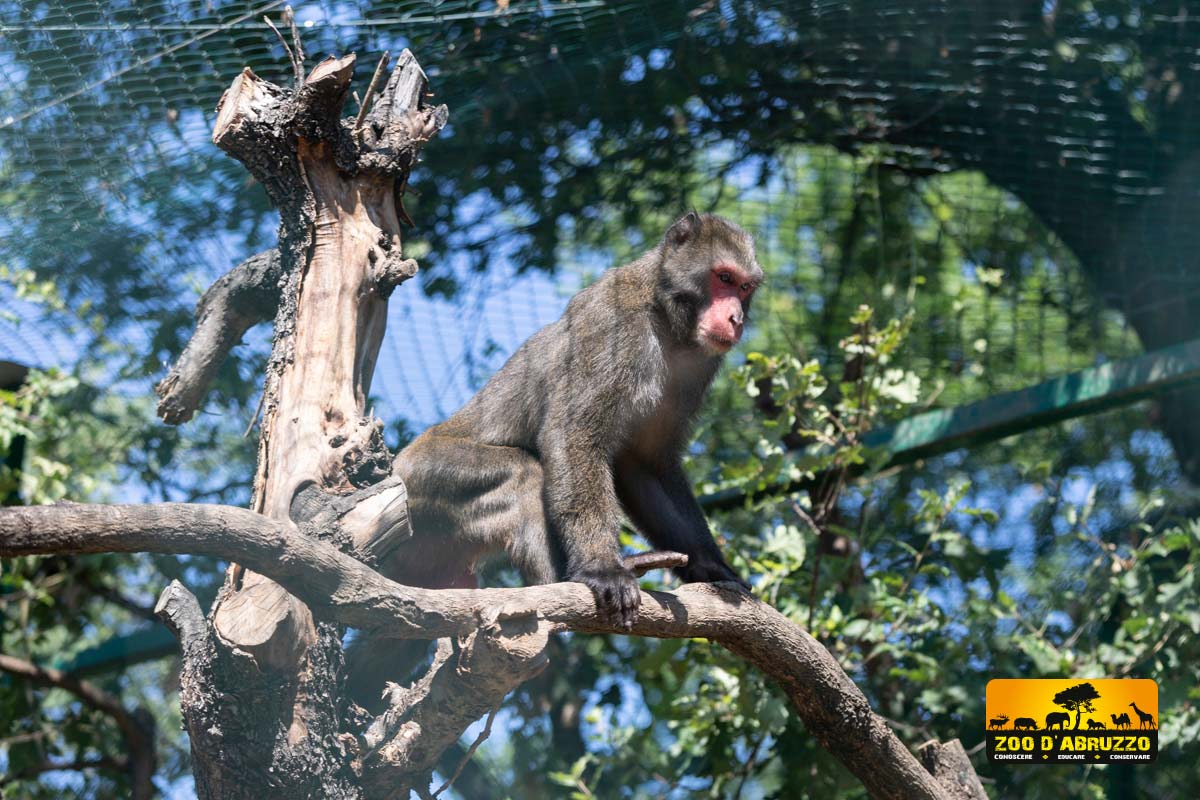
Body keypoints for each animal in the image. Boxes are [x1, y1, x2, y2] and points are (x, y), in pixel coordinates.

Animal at [348, 214, 758, 705]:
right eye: (723, 278)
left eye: (745, 287)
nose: (736, 318)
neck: (667, 319)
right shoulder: (611, 320)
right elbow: (574, 434)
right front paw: (601, 568)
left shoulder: (698, 366)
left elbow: (645, 464)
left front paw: (714, 567)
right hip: (423, 481)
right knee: (524, 474)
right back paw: (565, 581)